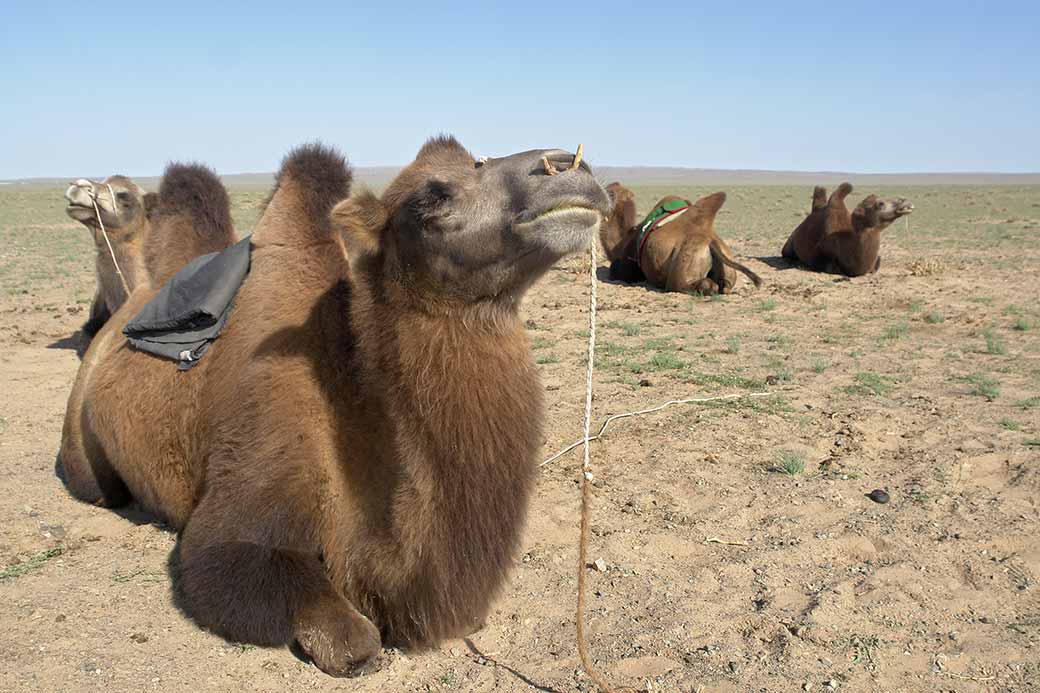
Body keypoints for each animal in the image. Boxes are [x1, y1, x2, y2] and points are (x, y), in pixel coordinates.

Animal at [599, 183, 762, 295]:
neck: (624, 240)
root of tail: (710, 239)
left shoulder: (628, 267)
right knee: (724, 286)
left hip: (682, 271)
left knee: (696, 285)